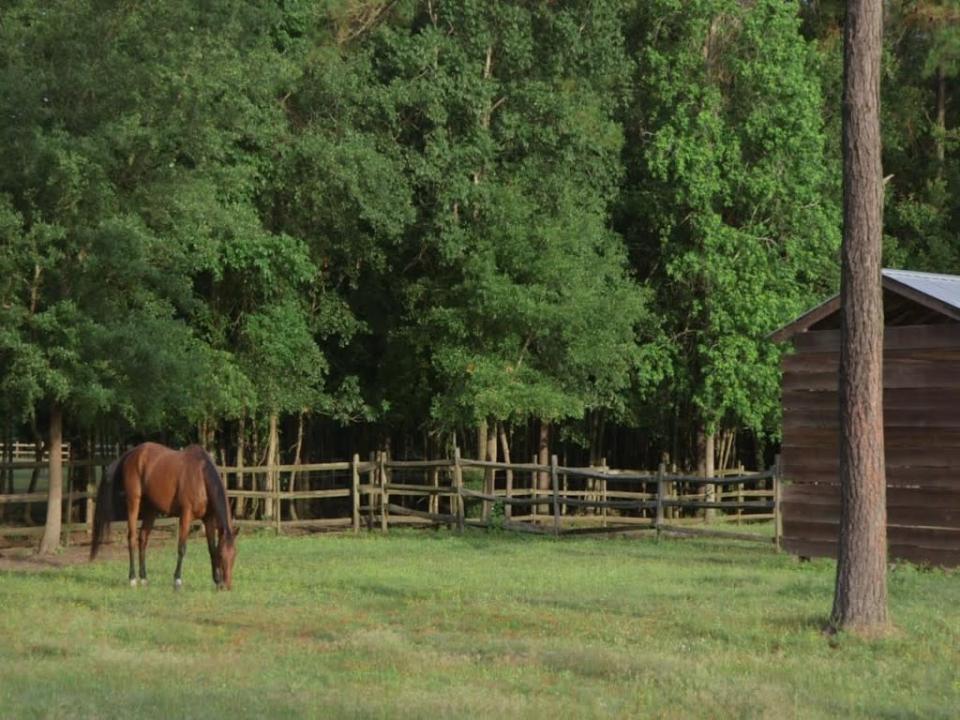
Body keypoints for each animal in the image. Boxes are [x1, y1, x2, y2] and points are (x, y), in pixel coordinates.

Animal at [89, 444, 239, 592]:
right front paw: (177, 581)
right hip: (133, 502)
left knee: (143, 539)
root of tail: (131, 453)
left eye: (234, 555)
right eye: (222, 556)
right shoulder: (186, 515)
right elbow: (182, 548)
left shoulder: (208, 519)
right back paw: (132, 579)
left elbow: (211, 549)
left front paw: (217, 581)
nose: (227, 586)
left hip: (150, 509)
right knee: (131, 538)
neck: (200, 476)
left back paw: (144, 578)